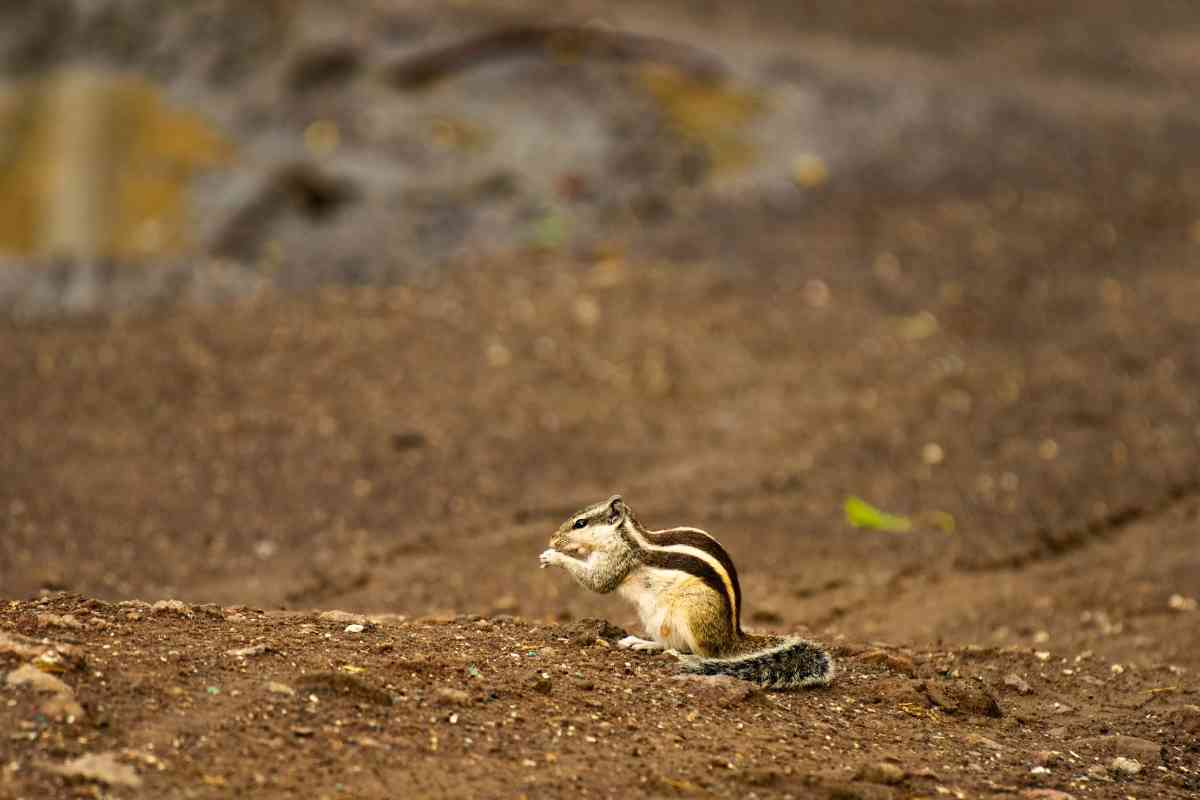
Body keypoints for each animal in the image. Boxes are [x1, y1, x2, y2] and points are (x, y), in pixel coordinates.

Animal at [539, 495, 834, 689]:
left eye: (580, 523)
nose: (552, 538)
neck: (627, 536)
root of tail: (732, 638)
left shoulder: (618, 560)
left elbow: (598, 582)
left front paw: (555, 556)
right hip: (656, 619)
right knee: (668, 641)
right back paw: (643, 643)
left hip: (692, 615)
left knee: (706, 654)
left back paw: (683, 655)